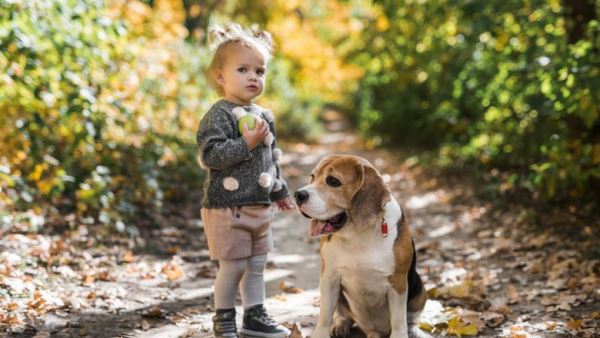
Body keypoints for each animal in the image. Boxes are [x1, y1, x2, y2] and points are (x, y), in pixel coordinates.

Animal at [294, 155, 426, 338]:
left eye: (333, 181)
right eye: (312, 177)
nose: (297, 195)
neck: (357, 235)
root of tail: (372, 330)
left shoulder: (398, 282)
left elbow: (399, 320)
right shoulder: (329, 277)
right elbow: (325, 314)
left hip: (420, 289)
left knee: (411, 318)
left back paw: (413, 330)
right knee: (343, 315)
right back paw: (340, 325)